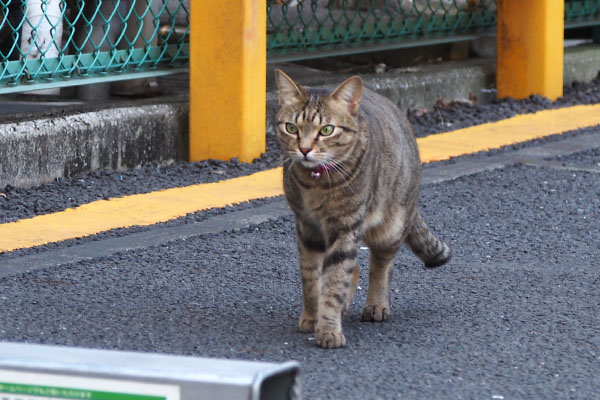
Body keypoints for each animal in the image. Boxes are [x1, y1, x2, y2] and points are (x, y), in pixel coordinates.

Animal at [274, 70, 452, 348]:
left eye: (326, 130)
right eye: (291, 128)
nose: (304, 149)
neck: (316, 184)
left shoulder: (346, 224)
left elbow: (335, 279)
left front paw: (328, 329)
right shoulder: (307, 228)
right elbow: (312, 278)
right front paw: (312, 317)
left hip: (390, 227)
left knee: (381, 267)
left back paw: (376, 305)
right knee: (353, 267)